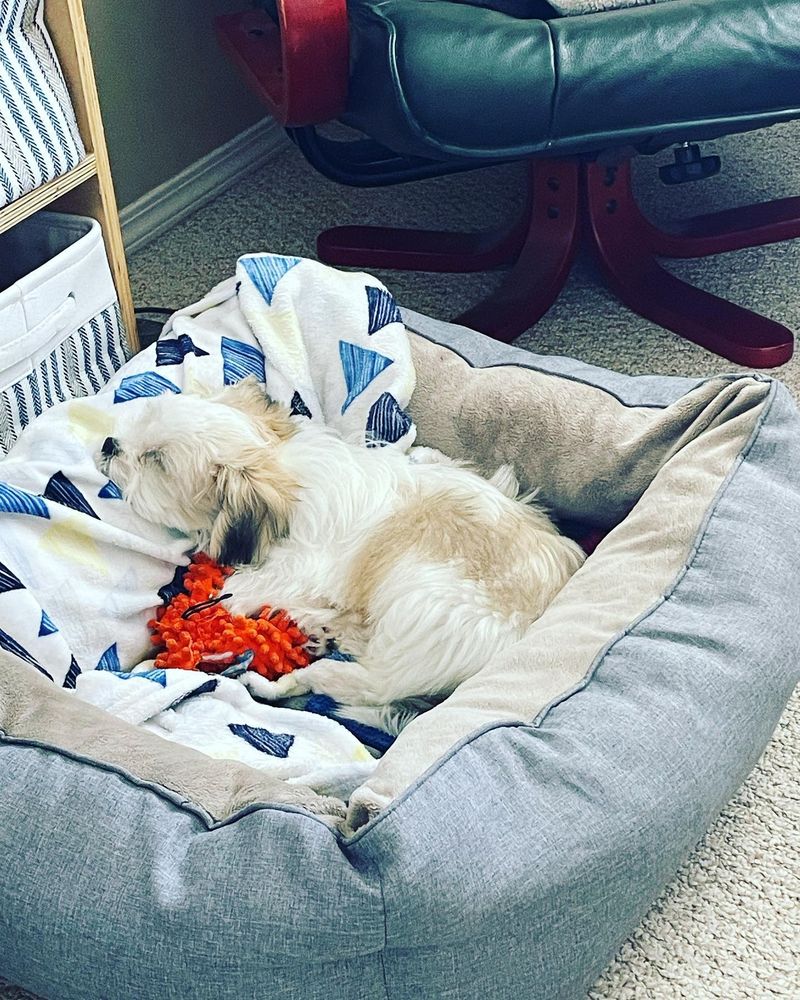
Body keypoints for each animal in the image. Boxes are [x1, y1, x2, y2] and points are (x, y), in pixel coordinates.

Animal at [98, 377, 585, 731]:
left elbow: (238, 592)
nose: (108, 444)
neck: (281, 472)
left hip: (414, 611)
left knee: (347, 683)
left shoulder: (288, 570)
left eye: (155, 460)